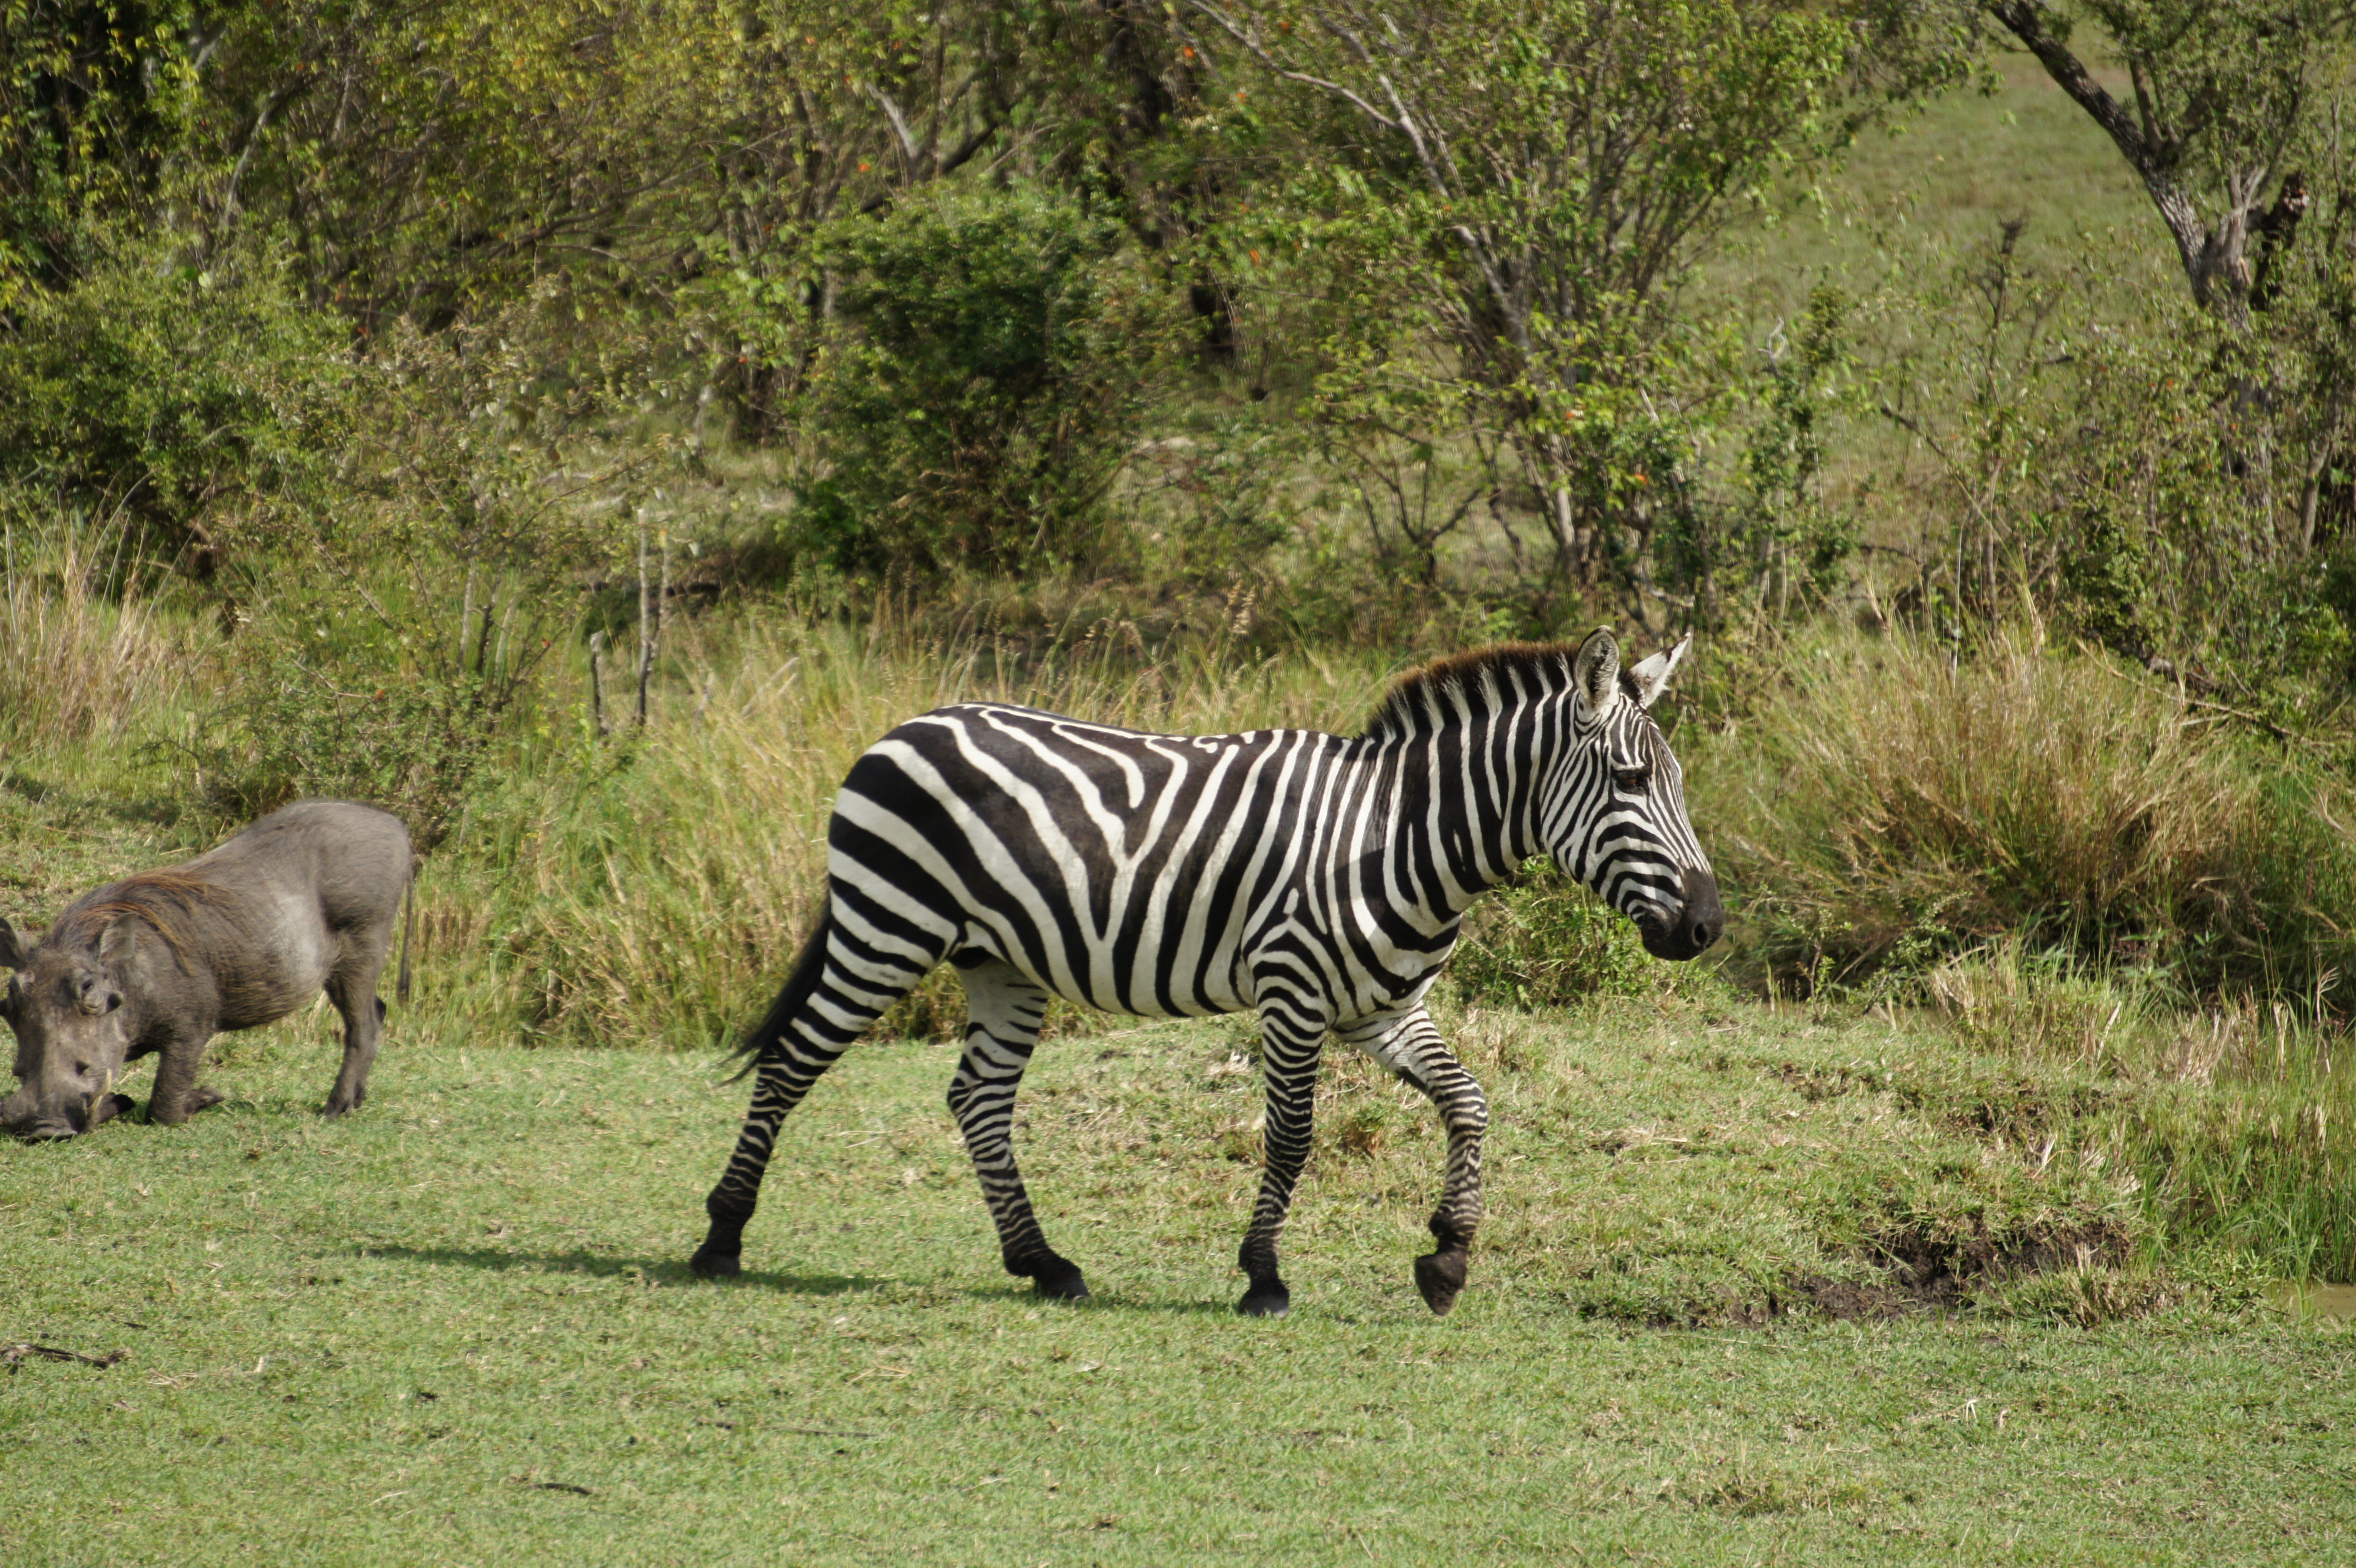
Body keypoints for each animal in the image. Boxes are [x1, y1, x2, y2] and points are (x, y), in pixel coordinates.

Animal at [688, 631, 1724, 1309]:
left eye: (1677, 785)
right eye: (1633, 782)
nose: (1707, 927)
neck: (1398, 834)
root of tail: (903, 727)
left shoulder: (1384, 1009)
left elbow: (1468, 1103)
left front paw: (1447, 1258)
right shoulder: (1293, 993)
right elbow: (1292, 1137)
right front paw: (1263, 1277)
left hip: (1000, 963)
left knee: (976, 1097)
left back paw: (1043, 1263)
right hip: (886, 928)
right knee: (790, 1063)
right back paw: (722, 1237)